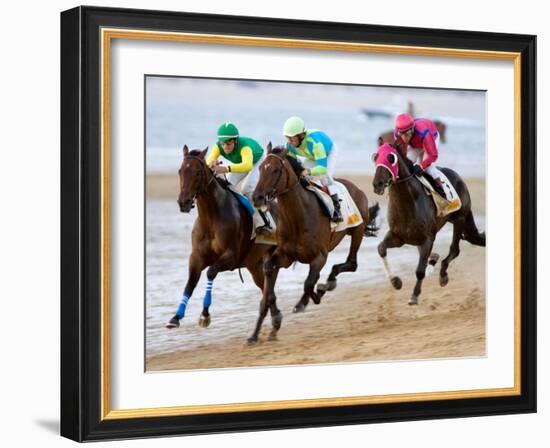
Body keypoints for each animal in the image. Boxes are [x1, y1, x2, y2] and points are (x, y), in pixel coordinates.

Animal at [165, 145, 280, 338]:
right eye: (180, 170)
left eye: (197, 172)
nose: (184, 202)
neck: (211, 217)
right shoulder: (196, 257)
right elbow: (190, 283)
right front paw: (176, 317)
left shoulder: (231, 257)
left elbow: (211, 272)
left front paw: (205, 315)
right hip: (254, 264)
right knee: (265, 288)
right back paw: (275, 319)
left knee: (268, 287)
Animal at [250, 144, 380, 344]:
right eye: (260, 168)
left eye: (276, 170)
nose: (257, 197)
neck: (298, 217)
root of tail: (356, 187)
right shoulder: (285, 256)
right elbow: (275, 272)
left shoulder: (320, 257)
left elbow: (309, 283)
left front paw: (315, 296)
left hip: (357, 229)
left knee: (351, 263)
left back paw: (327, 285)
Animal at [374, 142, 486, 306]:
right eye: (375, 157)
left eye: (390, 158)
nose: (377, 184)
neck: (408, 202)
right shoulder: (398, 236)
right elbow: (381, 248)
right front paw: (396, 281)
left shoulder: (428, 239)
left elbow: (420, 271)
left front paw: (414, 295)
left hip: (459, 218)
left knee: (454, 250)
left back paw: (443, 274)